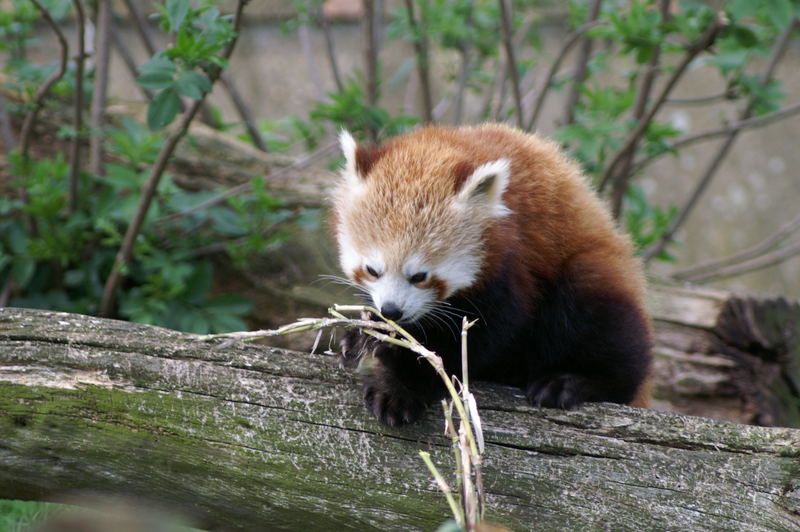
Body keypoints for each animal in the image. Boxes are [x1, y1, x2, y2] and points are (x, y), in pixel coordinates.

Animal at [332, 122, 648, 426]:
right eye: (372, 270)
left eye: (419, 276)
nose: (392, 310)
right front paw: (364, 335)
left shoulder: (510, 266)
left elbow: (471, 343)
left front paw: (400, 385)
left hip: (590, 276)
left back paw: (573, 382)